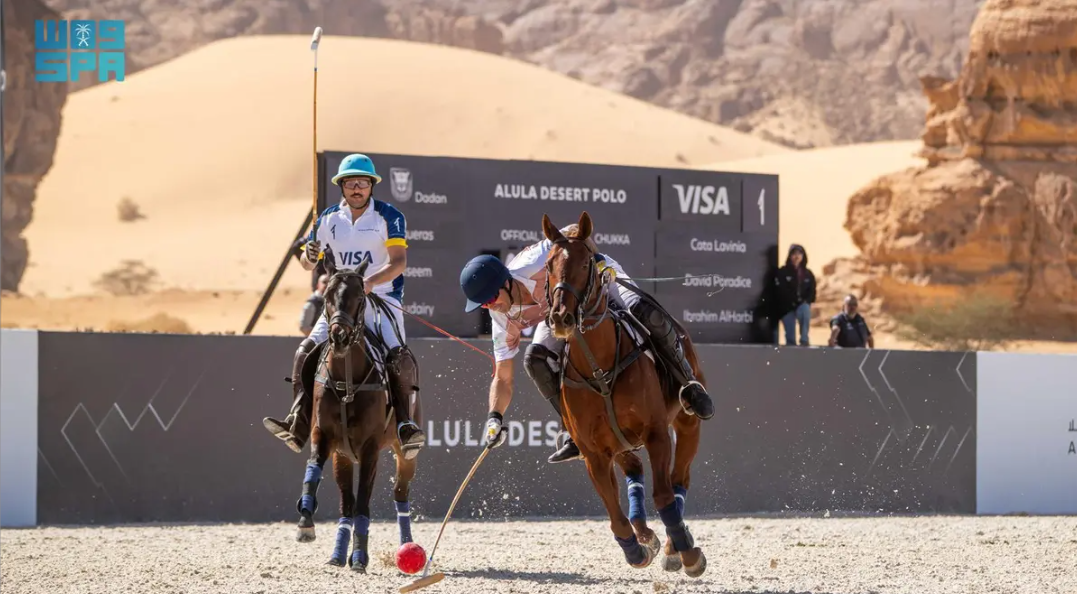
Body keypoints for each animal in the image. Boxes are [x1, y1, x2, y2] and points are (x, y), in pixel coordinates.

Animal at [292, 247, 422, 573]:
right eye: (327, 295)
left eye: (360, 297)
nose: (338, 336)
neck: (346, 381)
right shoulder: (324, 436)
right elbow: (314, 471)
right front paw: (305, 521)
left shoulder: (370, 447)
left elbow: (364, 498)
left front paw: (361, 557)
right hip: (343, 456)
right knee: (345, 504)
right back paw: (339, 554)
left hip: (406, 454)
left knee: (400, 495)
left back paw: (406, 547)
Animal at [540, 211, 707, 577]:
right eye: (548, 264)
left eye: (586, 262)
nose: (561, 317)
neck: (600, 370)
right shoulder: (594, 452)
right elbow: (615, 516)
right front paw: (635, 550)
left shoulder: (657, 433)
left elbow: (664, 496)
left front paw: (688, 553)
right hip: (620, 444)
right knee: (635, 471)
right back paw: (647, 535)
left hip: (687, 423)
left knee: (680, 479)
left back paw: (674, 547)